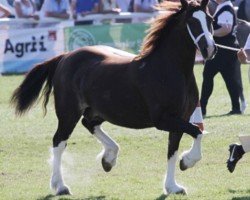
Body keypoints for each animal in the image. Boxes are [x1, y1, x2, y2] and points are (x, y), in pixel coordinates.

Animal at [10, 0, 216, 196]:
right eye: (191, 22)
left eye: (210, 20)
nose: (209, 49)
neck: (168, 69)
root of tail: (65, 57)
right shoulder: (164, 120)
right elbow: (197, 132)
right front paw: (186, 161)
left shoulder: (180, 119)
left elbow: (173, 150)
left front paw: (173, 186)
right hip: (68, 113)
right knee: (59, 142)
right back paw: (60, 186)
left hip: (98, 110)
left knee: (89, 124)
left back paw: (108, 158)